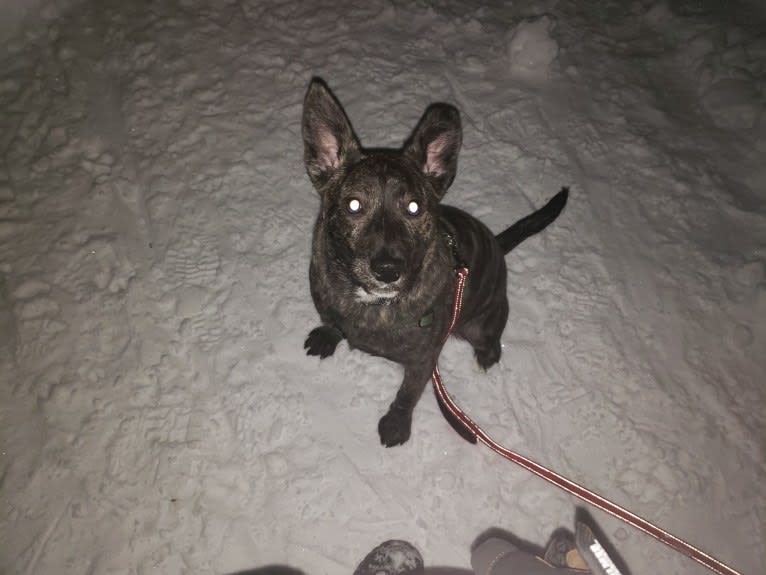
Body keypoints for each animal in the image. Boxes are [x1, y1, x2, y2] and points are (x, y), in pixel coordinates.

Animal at [304, 80, 568, 450]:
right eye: (354, 205)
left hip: (480, 324)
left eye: (414, 208)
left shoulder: (422, 361)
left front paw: (396, 424)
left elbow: (407, 394)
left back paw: (487, 356)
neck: (372, 304)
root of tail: (497, 245)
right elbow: (331, 320)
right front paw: (328, 334)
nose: (388, 269)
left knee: (492, 337)